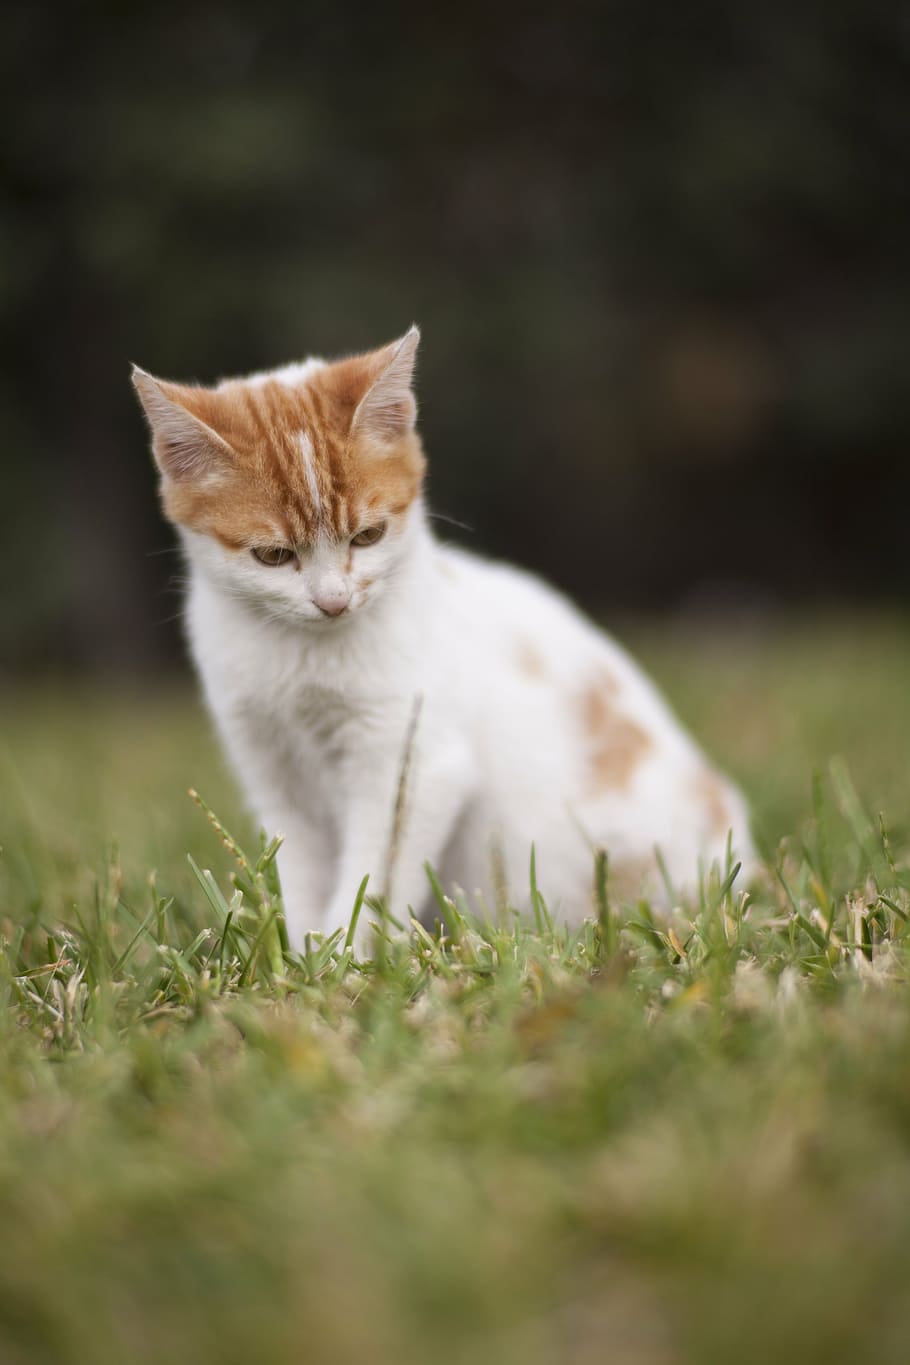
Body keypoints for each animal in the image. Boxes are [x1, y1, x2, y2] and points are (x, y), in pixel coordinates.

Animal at [131, 330, 753, 950]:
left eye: (368, 536)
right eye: (273, 555)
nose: (333, 601)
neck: (300, 657)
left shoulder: (415, 762)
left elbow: (374, 875)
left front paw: (346, 957)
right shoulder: (272, 768)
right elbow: (303, 871)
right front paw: (304, 955)